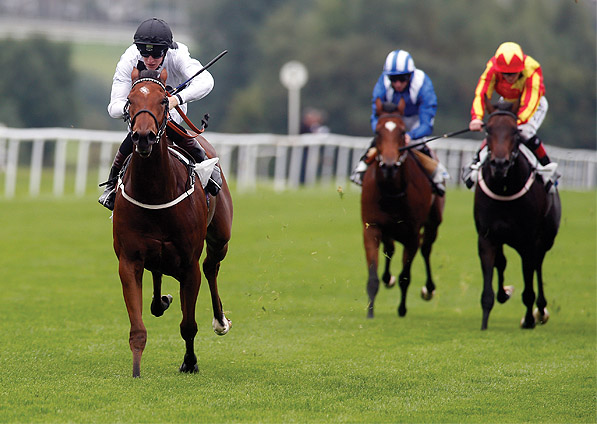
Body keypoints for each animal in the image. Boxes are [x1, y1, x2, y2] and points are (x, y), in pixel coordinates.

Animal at [112, 68, 233, 378]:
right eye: (129, 100)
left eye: (164, 101)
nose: (143, 137)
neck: (155, 191)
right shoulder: (128, 260)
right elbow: (137, 328)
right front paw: (136, 370)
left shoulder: (189, 264)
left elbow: (188, 325)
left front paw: (189, 362)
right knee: (158, 275)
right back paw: (161, 301)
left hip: (220, 237)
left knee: (211, 267)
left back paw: (220, 321)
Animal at [358, 99, 442, 318]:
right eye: (377, 131)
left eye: (402, 131)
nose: (389, 165)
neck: (392, 192)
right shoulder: (372, 227)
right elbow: (373, 275)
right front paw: (370, 313)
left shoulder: (412, 233)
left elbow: (406, 276)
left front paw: (402, 309)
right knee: (390, 249)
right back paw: (388, 278)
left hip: (433, 223)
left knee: (426, 249)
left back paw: (429, 289)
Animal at [474, 104, 560, 330]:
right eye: (488, 130)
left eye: (515, 132)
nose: (499, 163)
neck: (504, 189)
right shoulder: (487, 237)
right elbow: (490, 280)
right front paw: (484, 323)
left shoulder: (529, 240)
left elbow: (529, 287)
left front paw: (529, 319)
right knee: (503, 262)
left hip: (545, 240)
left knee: (537, 266)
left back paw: (540, 311)